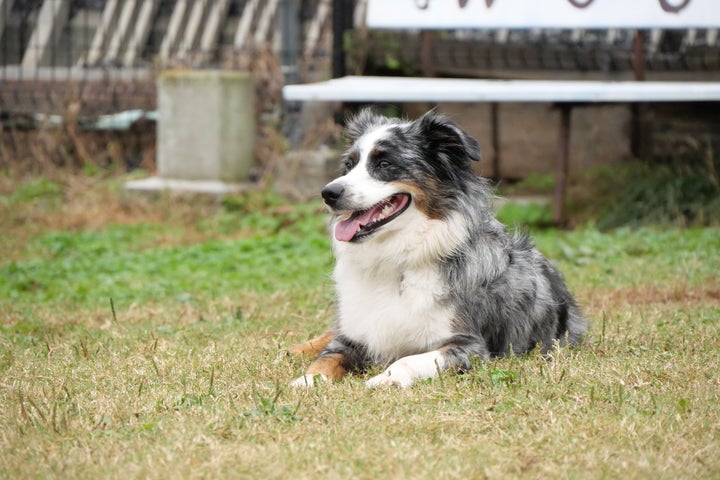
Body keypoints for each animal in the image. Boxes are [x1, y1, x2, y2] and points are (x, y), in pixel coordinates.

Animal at [290, 108, 588, 386]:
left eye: (385, 163)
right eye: (349, 165)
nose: (328, 193)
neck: (397, 260)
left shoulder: (469, 347)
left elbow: (406, 360)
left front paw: (383, 380)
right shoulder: (355, 334)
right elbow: (327, 357)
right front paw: (306, 382)